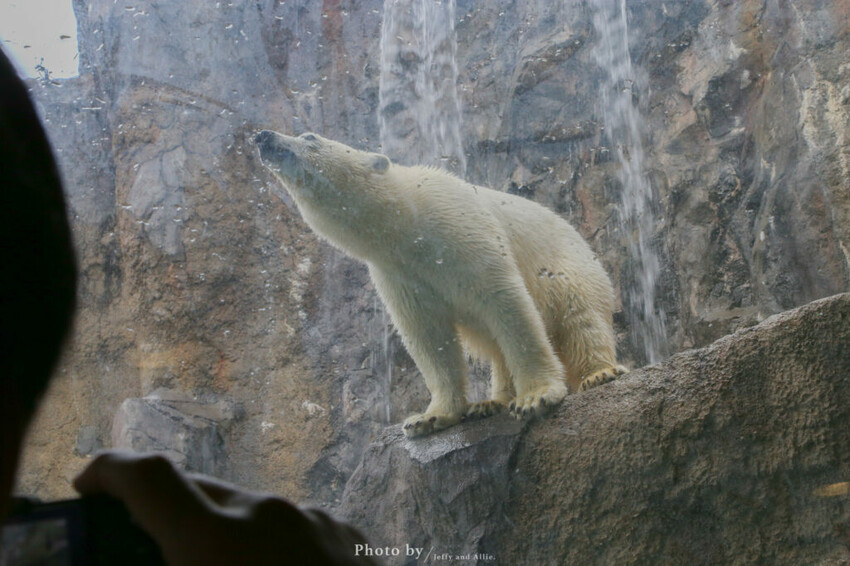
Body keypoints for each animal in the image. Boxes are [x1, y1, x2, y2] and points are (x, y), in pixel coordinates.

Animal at [254, 130, 627, 437]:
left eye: (310, 136)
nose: (263, 136)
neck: (407, 221)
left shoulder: (460, 227)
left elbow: (507, 301)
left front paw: (536, 397)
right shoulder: (399, 272)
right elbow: (428, 336)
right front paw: (427, 418)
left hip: (574, 267)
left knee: (580, 318)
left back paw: (599, 373)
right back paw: (489, 403)